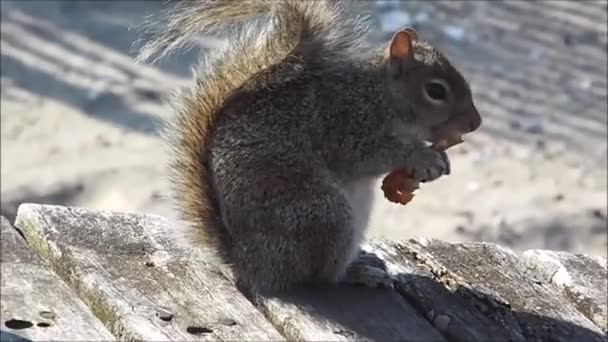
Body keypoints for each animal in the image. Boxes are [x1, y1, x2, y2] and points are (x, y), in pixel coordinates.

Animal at [133, 0, 480, 294]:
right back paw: (358, 274)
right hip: (323, 214)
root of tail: (247, 262)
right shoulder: (344, 122)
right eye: (436, 90)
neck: (380, 94)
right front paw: (421, 155)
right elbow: (368, 154)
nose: (475, 123)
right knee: (322, 277)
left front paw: (440, 160)